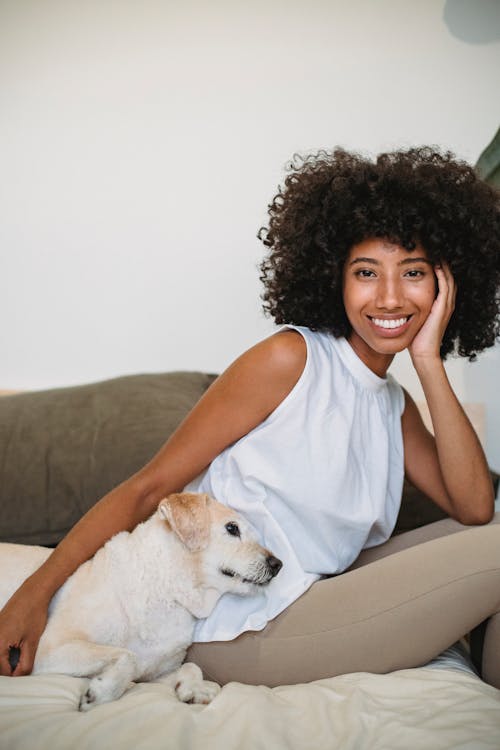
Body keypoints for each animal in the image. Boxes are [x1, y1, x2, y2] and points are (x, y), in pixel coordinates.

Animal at [0, 496, 282, 712]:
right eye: (232, 529)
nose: (278, 564)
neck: (169, 591)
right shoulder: (50, 649)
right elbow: (127, 656)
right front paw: (102, 692)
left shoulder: (153, 674)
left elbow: (190, 666)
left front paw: (194, 688)